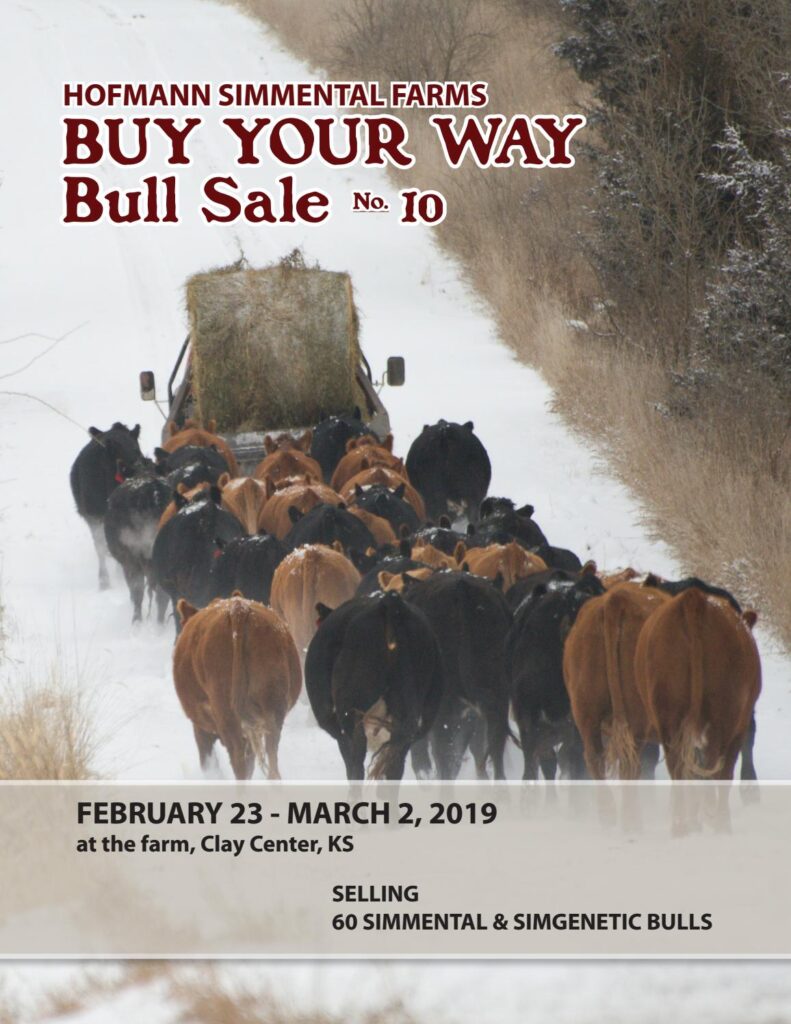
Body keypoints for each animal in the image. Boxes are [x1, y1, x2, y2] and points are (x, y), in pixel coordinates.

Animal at [173, 595, 301, 779]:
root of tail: (238, 609)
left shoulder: (200, 728)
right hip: (272, 708)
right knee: (272, 762)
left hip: (228, 713)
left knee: (239, 761)